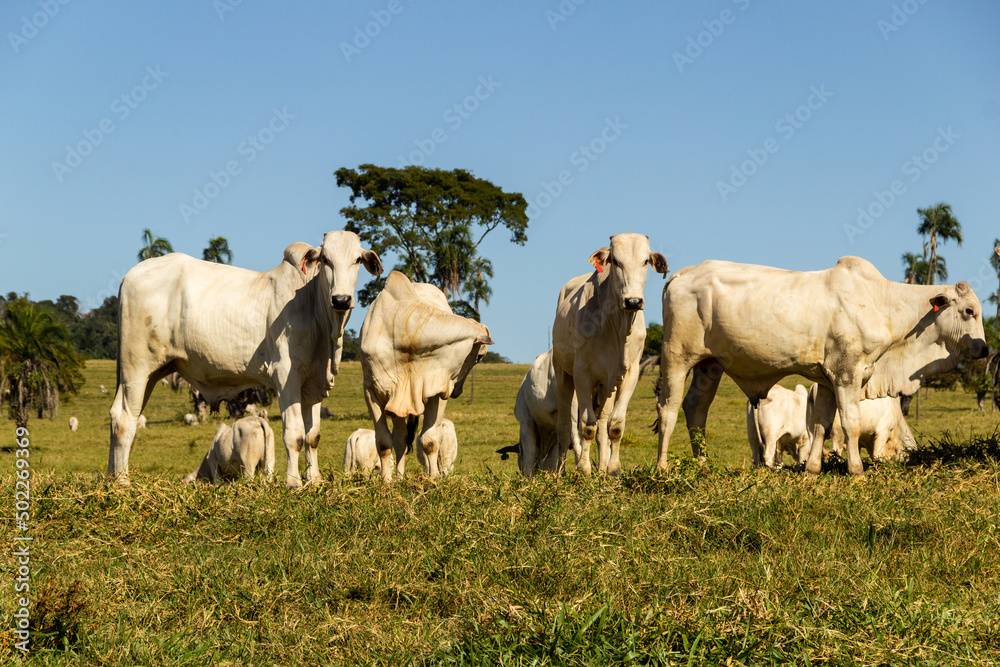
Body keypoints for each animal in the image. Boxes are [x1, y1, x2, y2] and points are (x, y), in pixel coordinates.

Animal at [108, 232, 382, 488]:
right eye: (325, 259)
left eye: (357, 259)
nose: (341, 299)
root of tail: (130, 276)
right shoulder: (286, 376)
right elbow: (295, 435)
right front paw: (293, 483)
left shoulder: (313, 383)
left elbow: (312, 436)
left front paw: (314, 480)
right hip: (136, 368)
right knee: (124, 420)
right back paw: (122, 482)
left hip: (152, 373)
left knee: (116, 415)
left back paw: (111, 479)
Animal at [360, 268, 492, 482]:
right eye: (479, 356)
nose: (457, 391)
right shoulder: (371, 390)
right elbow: (384, 443)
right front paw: (386, 481)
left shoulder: (437, 392)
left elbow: (429, 441)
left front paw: (434, 477)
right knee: (400, 440)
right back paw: (399, 477)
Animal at [552, 235, 668, 474]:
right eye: (615, 261)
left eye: (645, 261)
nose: (633, 301)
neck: (616, 326)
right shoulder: (582, 373)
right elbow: (586, 426)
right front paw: (583, 469)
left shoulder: (629, 374)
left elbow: (614, 426)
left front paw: (613, 469)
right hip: (562, 374)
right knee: (565, 427)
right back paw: (560, 471)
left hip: (606, 386)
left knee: (603, 425)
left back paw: (602, 468)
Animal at [656, 258, 992, 478]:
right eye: (969, 311)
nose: (985, 348)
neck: (881, 303)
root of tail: (680, 274)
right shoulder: (847, 374)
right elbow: (850, 424)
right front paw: (857, 471)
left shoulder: (829, 381)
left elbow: (821, 425)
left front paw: (813, 469)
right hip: (676, 358)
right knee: (669, 409)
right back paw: (662, 468)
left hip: (709, 365)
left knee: (696, 408)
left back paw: (703, 466)